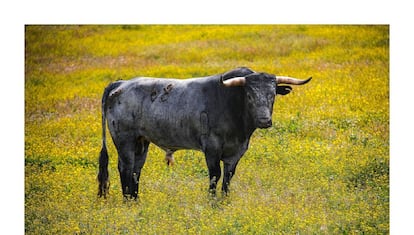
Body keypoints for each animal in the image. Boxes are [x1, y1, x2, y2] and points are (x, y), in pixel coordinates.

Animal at [97, 67, 310, 199]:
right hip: (125, 140)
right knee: (125, 168)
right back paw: (127, 201)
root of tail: (120, 84)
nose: (265, 121)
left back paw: (135, 200)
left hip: (141, 142)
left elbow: (228, 177)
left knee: (136, 169)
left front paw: (224, 201)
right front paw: (212, 201)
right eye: (249, 95)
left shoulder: (236, 151)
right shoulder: (212, 148)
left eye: (273, 95)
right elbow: (215, 175)